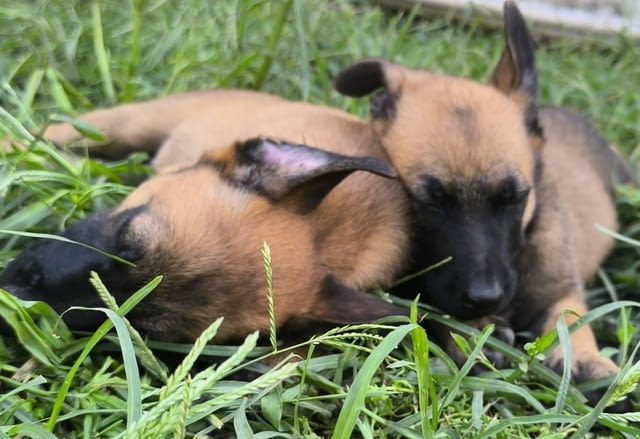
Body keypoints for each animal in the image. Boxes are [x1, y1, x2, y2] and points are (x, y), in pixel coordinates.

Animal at [336, 0, 636, 384]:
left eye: (515, 197)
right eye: (430, 200)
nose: (485, 298)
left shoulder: (560, 288)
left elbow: (571, 317)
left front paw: (584, 358)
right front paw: (475, 331)